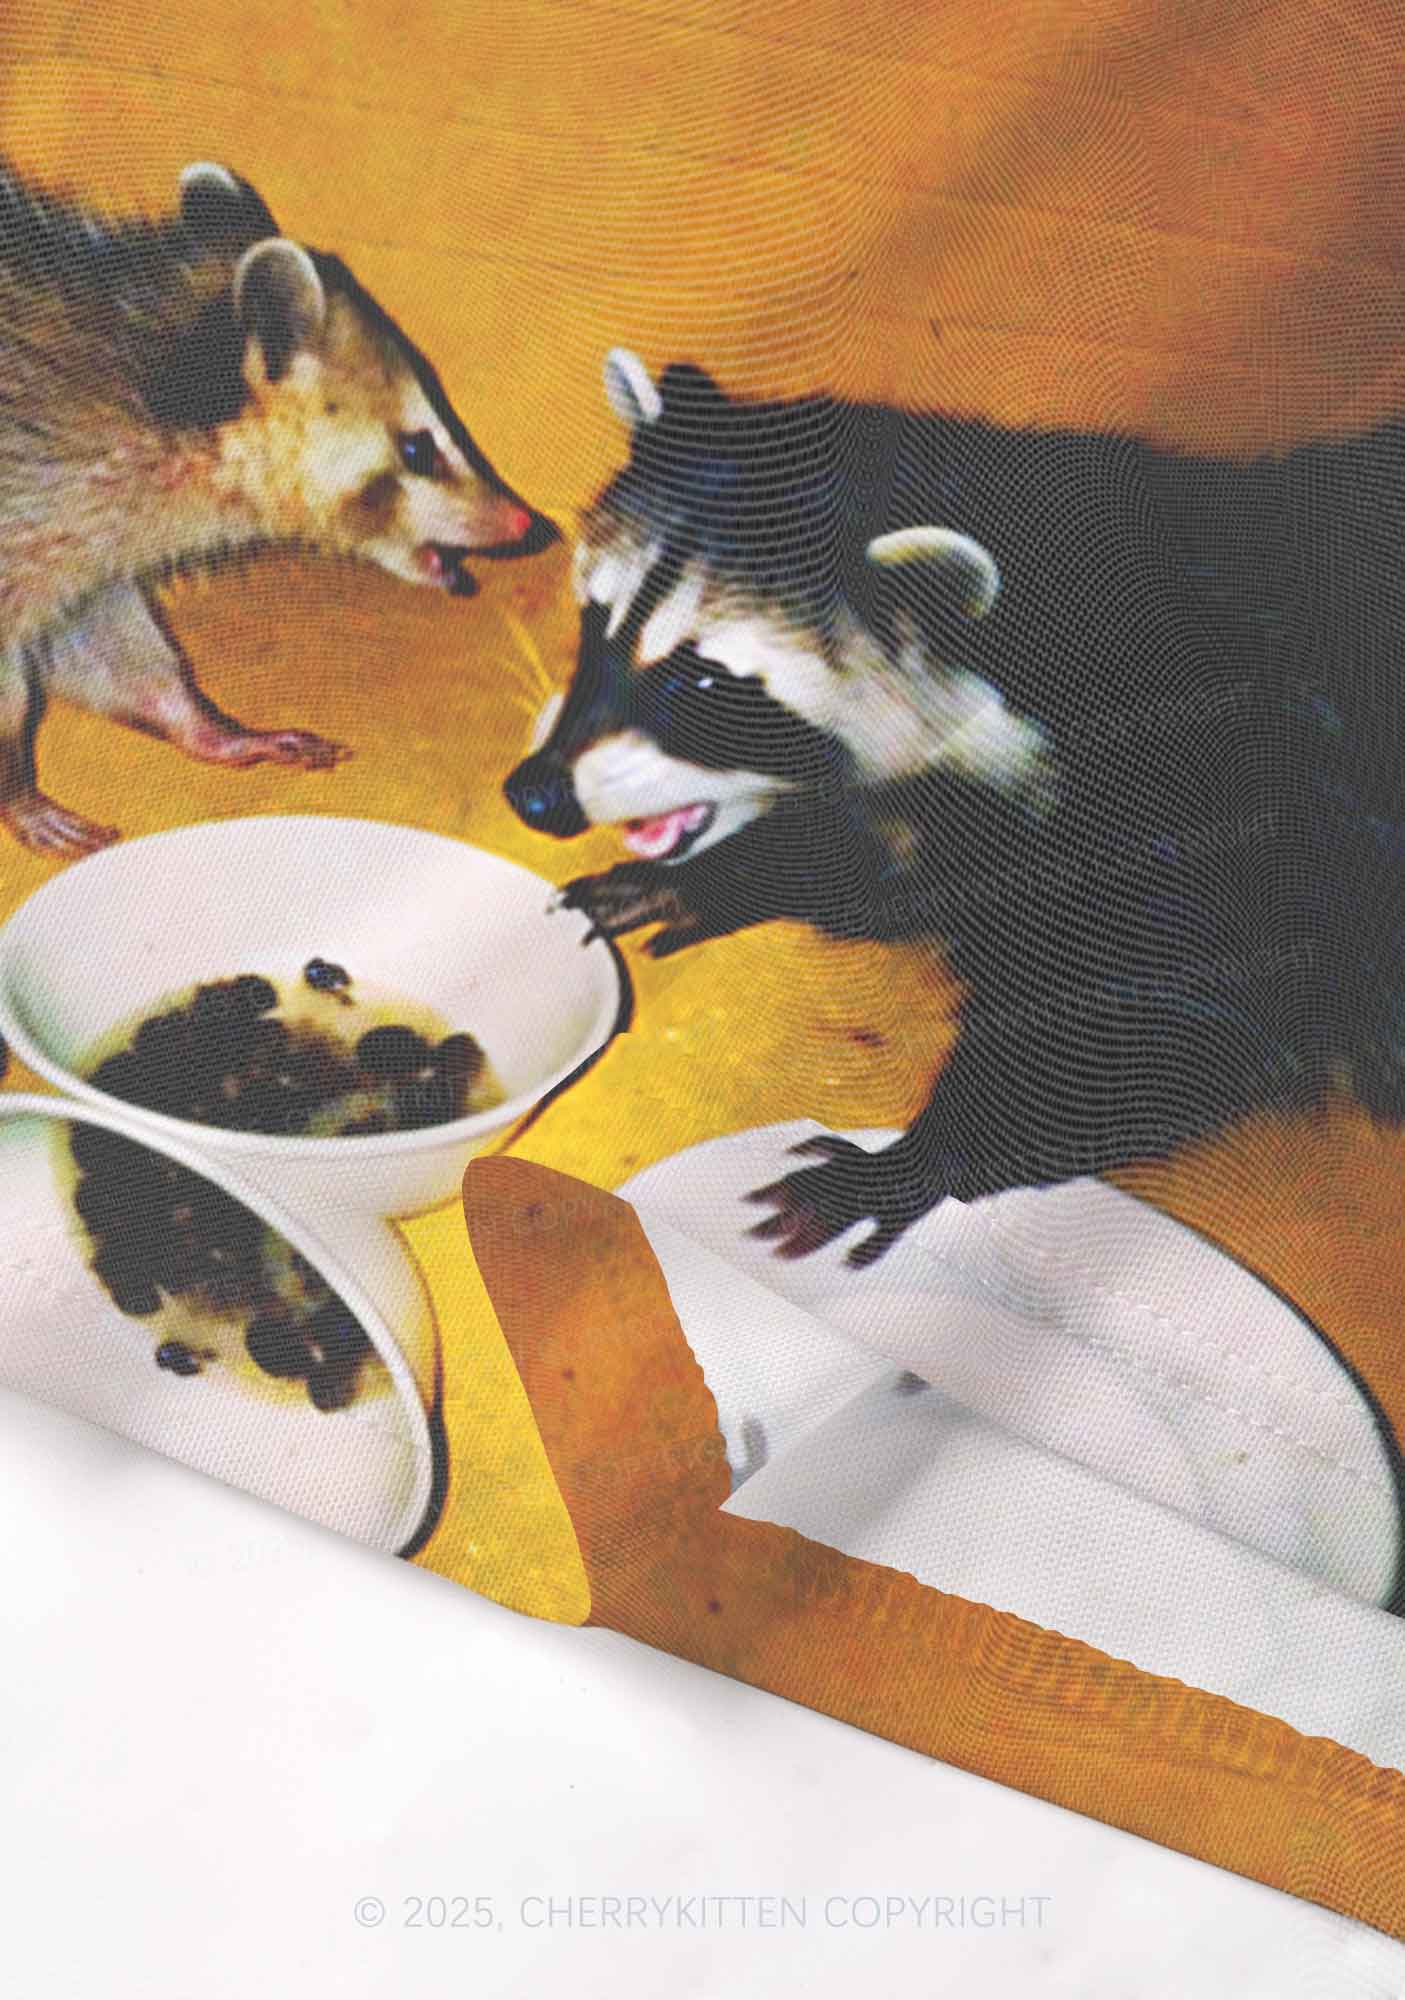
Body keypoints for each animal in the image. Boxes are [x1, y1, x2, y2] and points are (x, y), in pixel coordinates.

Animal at [0, 157, 557, 857]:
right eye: (418, 447)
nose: (524, 521)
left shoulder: (83, 543)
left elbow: (100, 639)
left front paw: (205, 725)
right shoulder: (27, 504)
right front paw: (14, 787)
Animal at [506, 348, 1405, 1265]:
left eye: (705, 680)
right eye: (595, 616)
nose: (532, 794)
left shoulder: (1209, 805)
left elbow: (1163, 1007)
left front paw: (919, 1155)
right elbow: (875, 866)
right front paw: (726, 874)